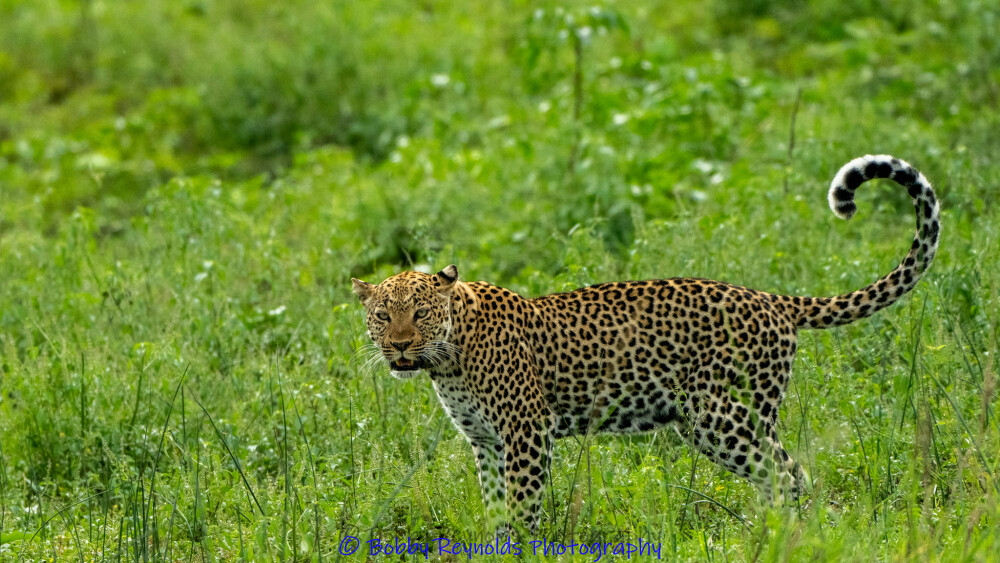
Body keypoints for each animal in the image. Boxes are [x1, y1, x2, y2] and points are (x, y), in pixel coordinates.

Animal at [351, 154, 940, 532]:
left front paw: (519, 548)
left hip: (721, 417)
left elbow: (523, 510)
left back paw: (784, 538)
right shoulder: (486, 442)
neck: (448, 361)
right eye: (382, 315)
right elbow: (496, 508)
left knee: (788, 475)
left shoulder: (525, 434)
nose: (399, 346)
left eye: (420, 313)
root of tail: (772, 299)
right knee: (785, 475)